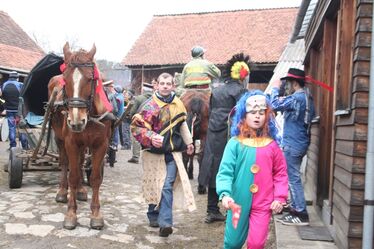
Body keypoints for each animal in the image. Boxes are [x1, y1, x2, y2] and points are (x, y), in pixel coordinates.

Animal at [48, 42, 112, 230]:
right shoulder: (71, 143)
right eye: (65, 79)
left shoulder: (101, 145)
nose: (76, 121)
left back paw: (81, 191)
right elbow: (73, 175)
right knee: (64, 164)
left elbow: (96, 178)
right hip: (60, 138)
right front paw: (71, 213)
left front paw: (96, 214)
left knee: (81, 161)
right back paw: (63, 191)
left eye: (90, 79)